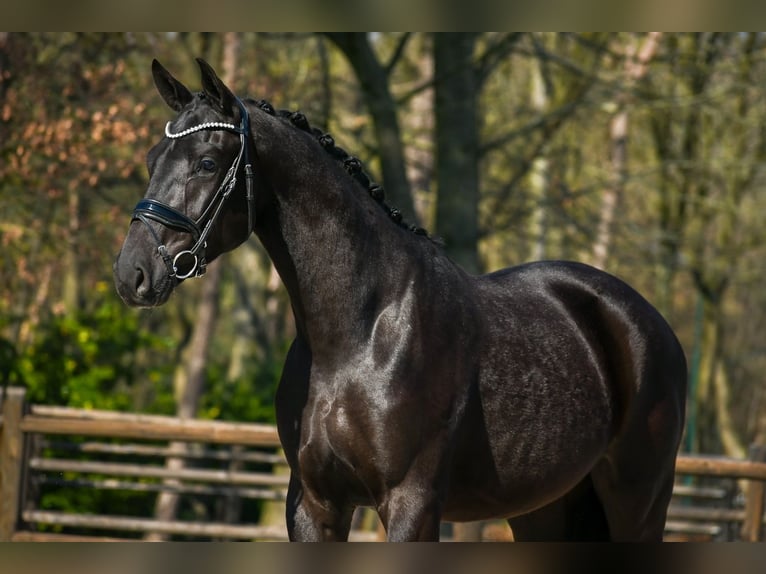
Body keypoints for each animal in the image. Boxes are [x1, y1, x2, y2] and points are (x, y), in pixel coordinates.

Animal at [113, 58, 687, 541]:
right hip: (544, 509)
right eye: (151, 158)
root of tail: (648, 321)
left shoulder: (411, 504)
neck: (357, 336)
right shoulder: (315, 504)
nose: (131, 274)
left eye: (208, 162)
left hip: (638, 503)